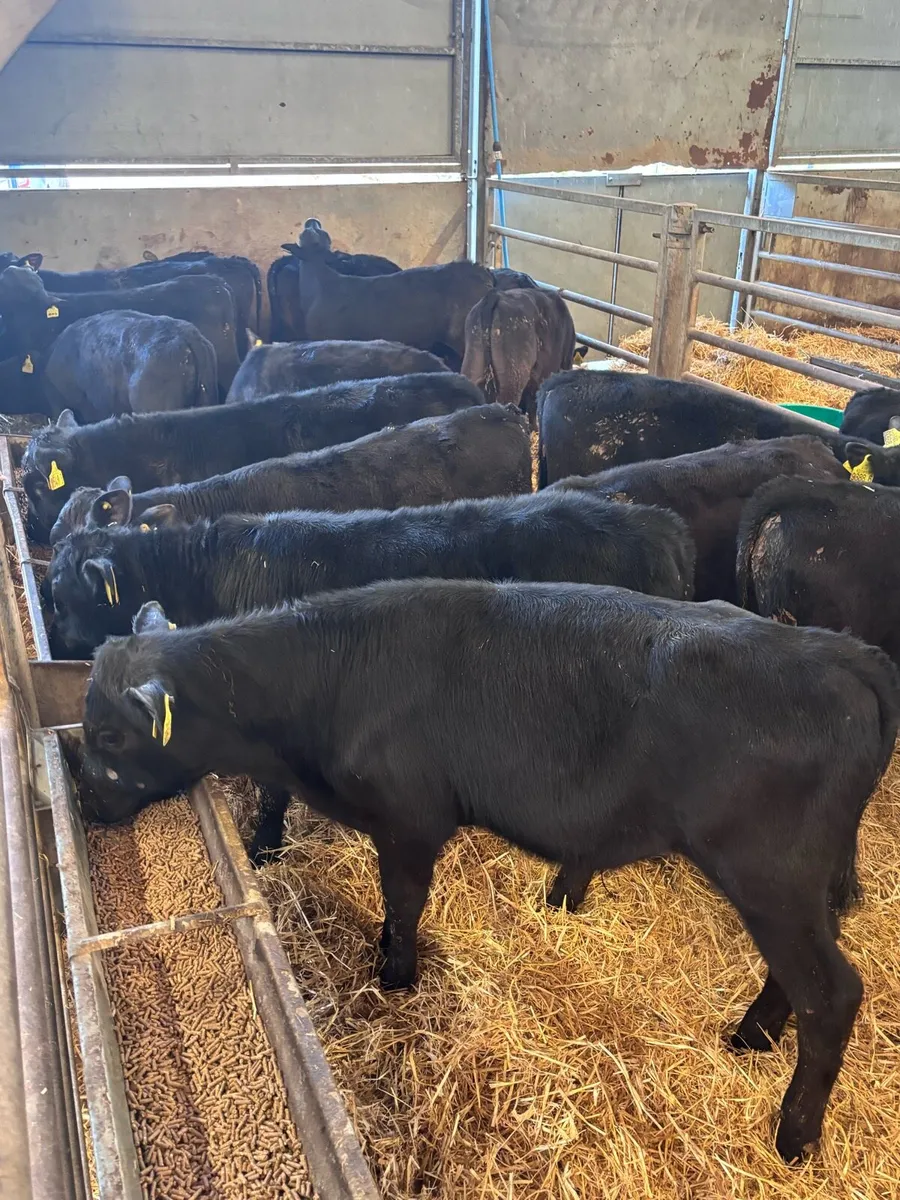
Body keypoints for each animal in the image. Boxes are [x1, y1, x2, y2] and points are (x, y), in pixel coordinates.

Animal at [78, 578, 900, 1162]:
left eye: (114, 737)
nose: (84, 800)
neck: (328, 680)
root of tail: (842, 652)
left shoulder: (411, 821)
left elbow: (404, 901)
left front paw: (394, 975)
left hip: (770, 876)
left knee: (832, 993)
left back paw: (793, 1136)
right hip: (799, 884)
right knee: (799, 978)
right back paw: (752, 1038)